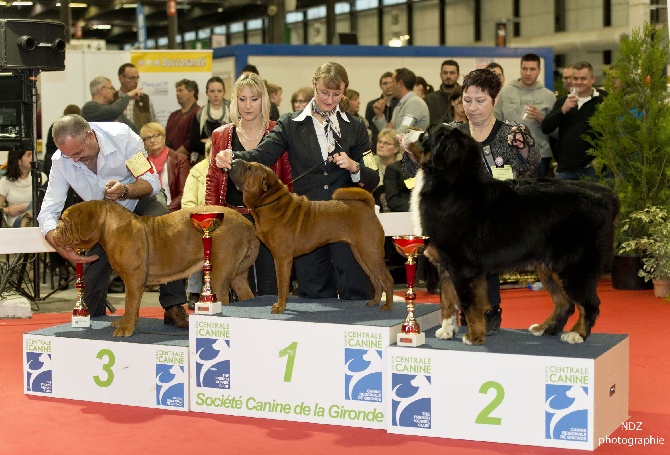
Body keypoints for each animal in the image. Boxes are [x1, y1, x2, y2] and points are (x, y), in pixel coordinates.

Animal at [228, 159, 396, 314]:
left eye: (249, 168)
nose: (233, 160)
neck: (269, 202)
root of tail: (368, 206)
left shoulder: (282, 258)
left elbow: (282, 285)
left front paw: (279, 307)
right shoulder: (279, 258)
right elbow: (282, 284)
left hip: (370, 252)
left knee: (387, 279)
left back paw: (388, 306)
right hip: (361, 253)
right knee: (376, 279)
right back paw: (374, 302)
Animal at [410, 124, 624, 346]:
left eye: (426, 134)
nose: (408, 131)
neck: (451, 185)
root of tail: (605, 195)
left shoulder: (463, 266)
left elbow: (469, 304)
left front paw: (474, 336)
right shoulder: (446, 265)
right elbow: (447, 301)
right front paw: (447, 330)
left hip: (573, 267)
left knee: (589, 303)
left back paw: (576, 334)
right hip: (548, 267)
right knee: (564, 303)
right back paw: (544, 328)